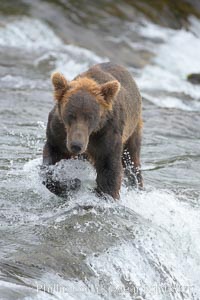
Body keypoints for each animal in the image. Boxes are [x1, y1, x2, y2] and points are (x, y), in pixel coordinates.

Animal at [42, 62, 142, 199]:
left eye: (90, 117)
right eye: (71, 115)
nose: (76, 145)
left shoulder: (106, 135)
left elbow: (109, 169)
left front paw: (106, 195)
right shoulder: (59, 133)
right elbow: (52, 157)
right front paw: (70, 184)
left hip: (132, 130)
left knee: (132, 161)